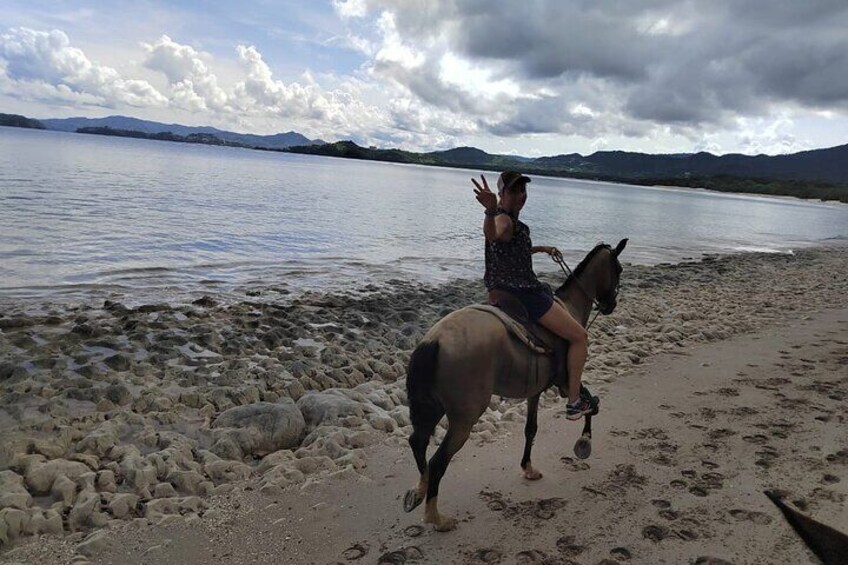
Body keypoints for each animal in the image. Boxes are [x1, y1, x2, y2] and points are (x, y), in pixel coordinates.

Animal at [404, 238, 628, 528]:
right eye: (618, 269)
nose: (611, 304)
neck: (570, 306)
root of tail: (435, 339)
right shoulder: (567, 381)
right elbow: (590, 404)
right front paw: (584, 441)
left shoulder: (535, 390)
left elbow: (531, 429)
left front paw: (528, 468)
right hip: (464, 419)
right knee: (438, 461)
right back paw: (435, 517)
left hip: (431, 407)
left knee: (417, 442)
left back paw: (420, 489)